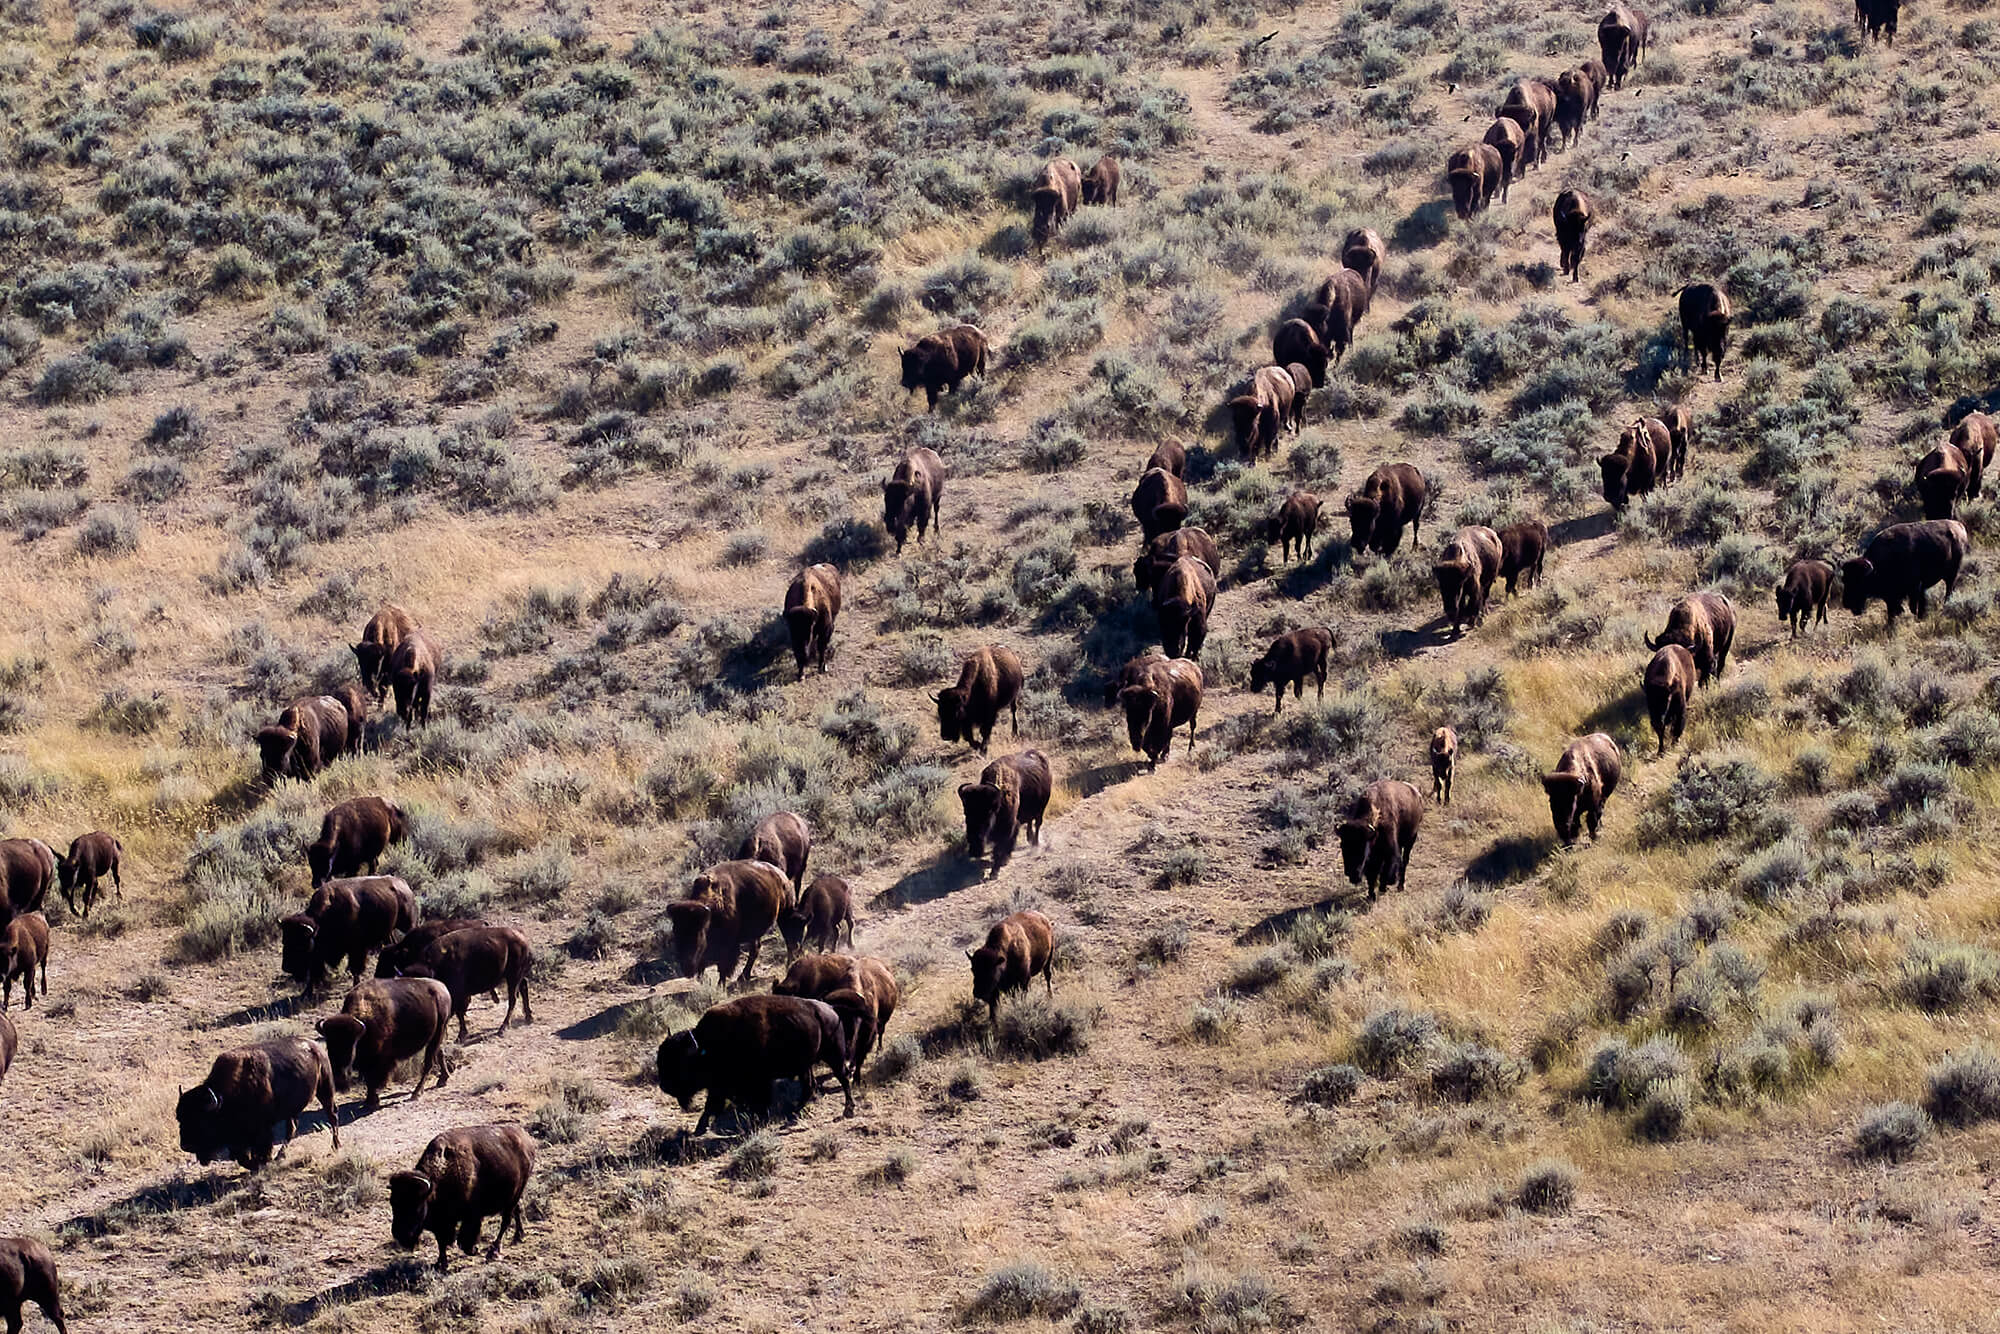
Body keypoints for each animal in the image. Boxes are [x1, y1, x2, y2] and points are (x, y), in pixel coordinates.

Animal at [177, 1037, 340, 1171]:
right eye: (179, 1118)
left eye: (202, 1121)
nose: (186, 1145)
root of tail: (316, 1046)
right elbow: (243, 1158)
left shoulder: (262, 1130)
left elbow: (259, 1151)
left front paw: (262, 1164)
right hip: (292, 1109)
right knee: (292, 1128)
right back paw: (280, 1156)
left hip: (325, 1090)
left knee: (332, 1116)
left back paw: (335, 1147)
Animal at [390, 1125, 536, 1271]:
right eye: (393, 1203)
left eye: (416, 1206)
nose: (400, 1234)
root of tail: (527, 1140)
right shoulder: (440, 1223)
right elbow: (441, 1242)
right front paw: (440, 1264)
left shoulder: (471, 1216)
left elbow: (463, 1240)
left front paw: (473, 1250)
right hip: (512, 1197)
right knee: (516, 1211)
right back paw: (518, 1237)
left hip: (515, 1194)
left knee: (505, 1221)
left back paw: (493, 1252)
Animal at [657, 994, 853, 1134]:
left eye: (681, 1064)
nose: (664, 1086)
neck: (706, 1045)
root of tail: (830, 1009)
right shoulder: (719, 1085)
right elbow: (711, 1104)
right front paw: (699, 1128)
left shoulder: (756, 1082)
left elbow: (755, 1102)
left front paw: (759, 1121)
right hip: (806, 1065)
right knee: (810, 1086)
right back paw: (794, 1113)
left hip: (834, 1056)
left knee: (843, 1079)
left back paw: (848, 1111)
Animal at [1842, 519, 1970, 627]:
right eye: (1844, 580)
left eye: (1859, 581)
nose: (1846, 603)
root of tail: (1959, 525)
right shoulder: (1892, 595)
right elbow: (1892, 610)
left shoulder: (1914, 588)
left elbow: (1911, 606)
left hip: (1952, 574)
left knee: (1949, 590)